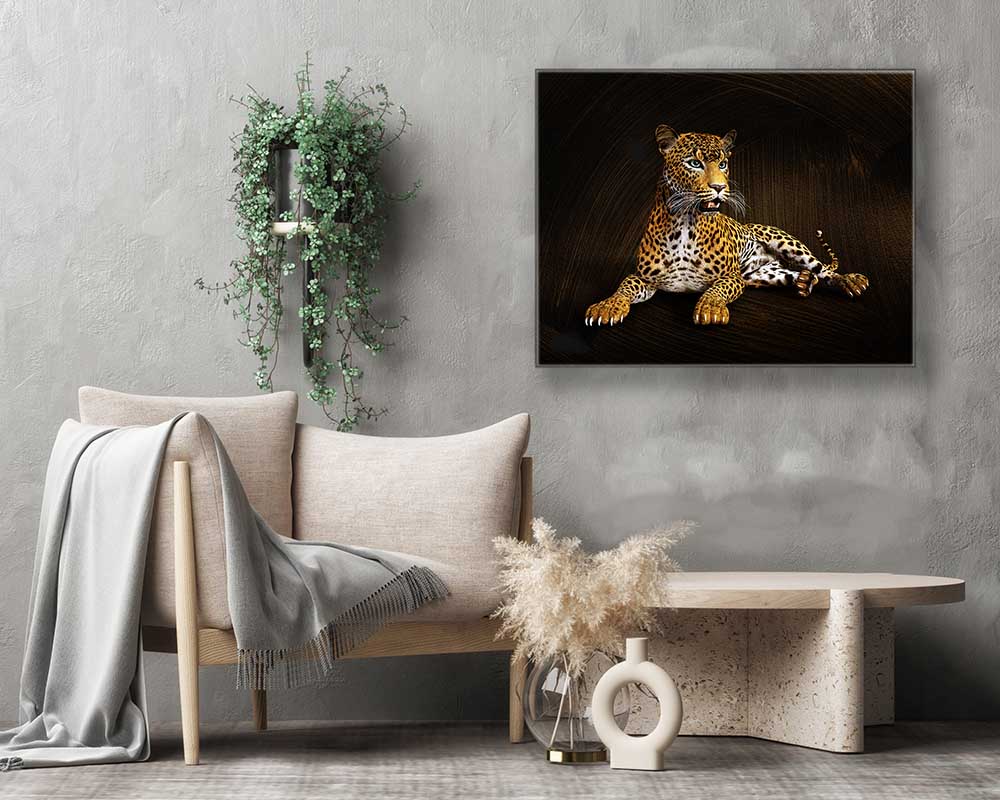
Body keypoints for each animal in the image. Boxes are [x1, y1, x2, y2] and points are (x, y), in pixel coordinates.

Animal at [584, 124, 869, 327]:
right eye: (694, 163)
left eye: (723, 164)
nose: (719, 187)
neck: (685, 223)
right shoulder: (645, 278)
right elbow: (624, 286)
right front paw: (606, 306)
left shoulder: (731, 276)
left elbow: (717, 289)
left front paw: (710, 308)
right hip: (762, 276)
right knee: (796, 274)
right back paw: (803, 282)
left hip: (788, 243)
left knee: (822, 269)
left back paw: (851, 281)